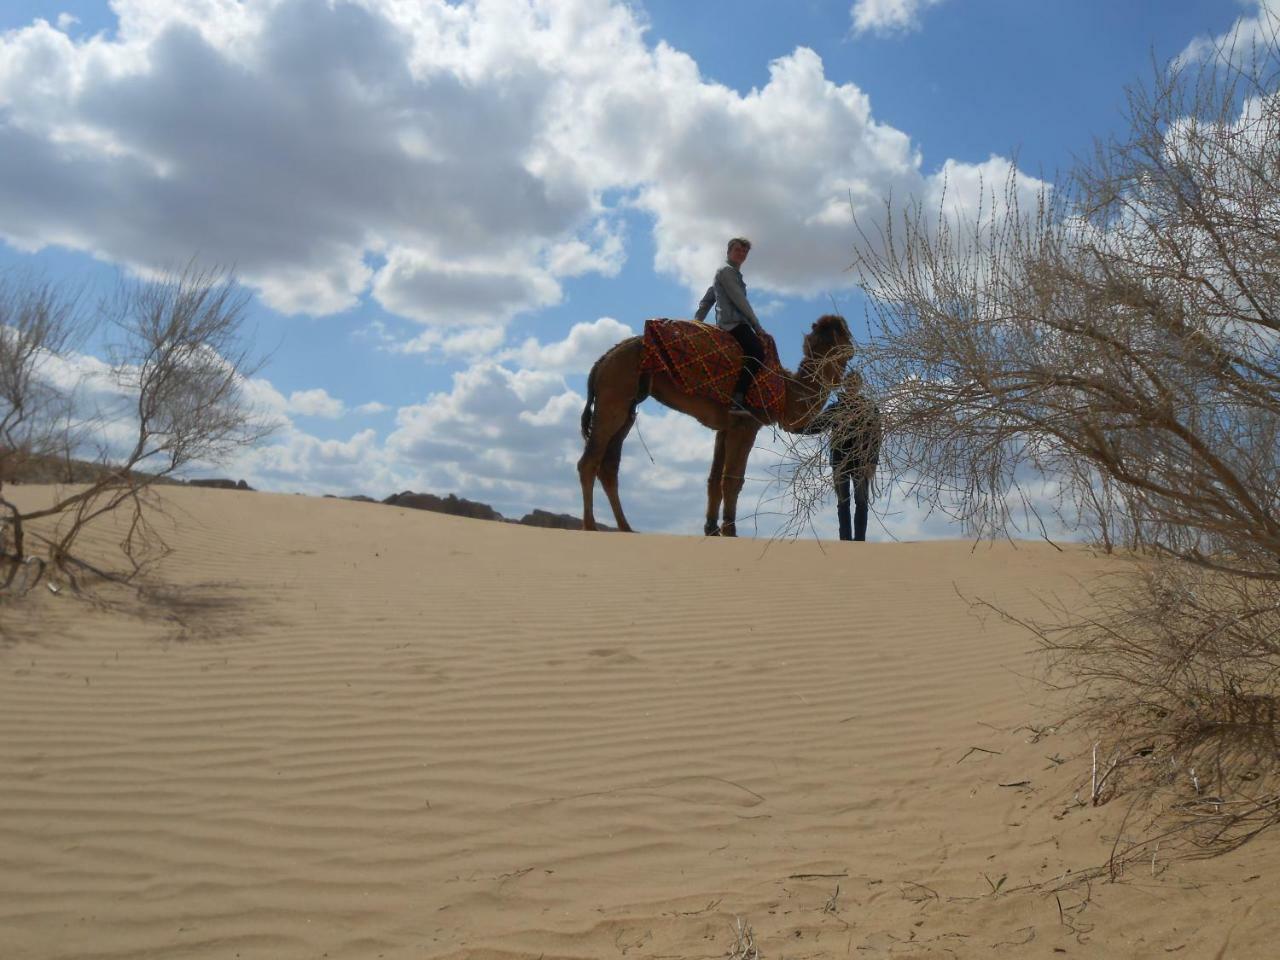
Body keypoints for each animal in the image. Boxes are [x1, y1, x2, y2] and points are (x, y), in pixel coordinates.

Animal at [581, 317, 849, 537]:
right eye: (844, 336)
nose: (852, 349)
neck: (785, 392)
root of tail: (601, 362)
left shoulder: (725, 428)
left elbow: (714, 480)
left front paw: (711, 529)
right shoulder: (746, 424)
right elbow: (733, 479)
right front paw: (730, 530)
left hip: (628, 407)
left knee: (609, 465)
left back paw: (626, 528)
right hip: (614, 395)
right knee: (589, 461)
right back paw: (590, 526)